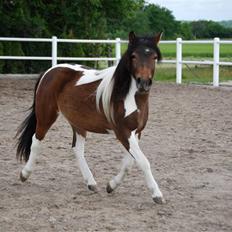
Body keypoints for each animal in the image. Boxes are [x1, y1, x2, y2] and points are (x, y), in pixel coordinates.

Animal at [15, 30, 165, 203]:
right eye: (133, 56)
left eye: (154, 57)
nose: (143, 83)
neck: (128, 96)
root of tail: (49, 71)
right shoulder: (123, 133)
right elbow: (143, 161)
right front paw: (157, 194)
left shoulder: (136, 133)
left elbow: (129, 162)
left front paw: (111, 185)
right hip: (46, 115)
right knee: (36, 141)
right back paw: (24, 174)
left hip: (77, 123)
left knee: (77, 149)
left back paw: (91, 183)